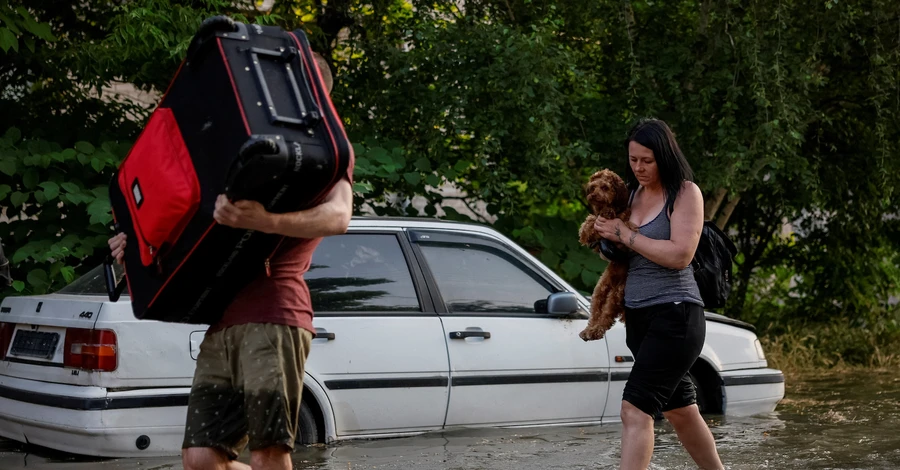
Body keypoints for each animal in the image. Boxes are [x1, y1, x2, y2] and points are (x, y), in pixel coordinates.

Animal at [576, 169, 632, 342]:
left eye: (605, 187)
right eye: (593, 187)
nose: (593, 195)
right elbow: (589, 222)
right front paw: (589, 229)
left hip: (617, 294)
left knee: (607, 316)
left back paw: (595, 331)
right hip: (600, 289)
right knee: (595, 313)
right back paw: (589, 330)